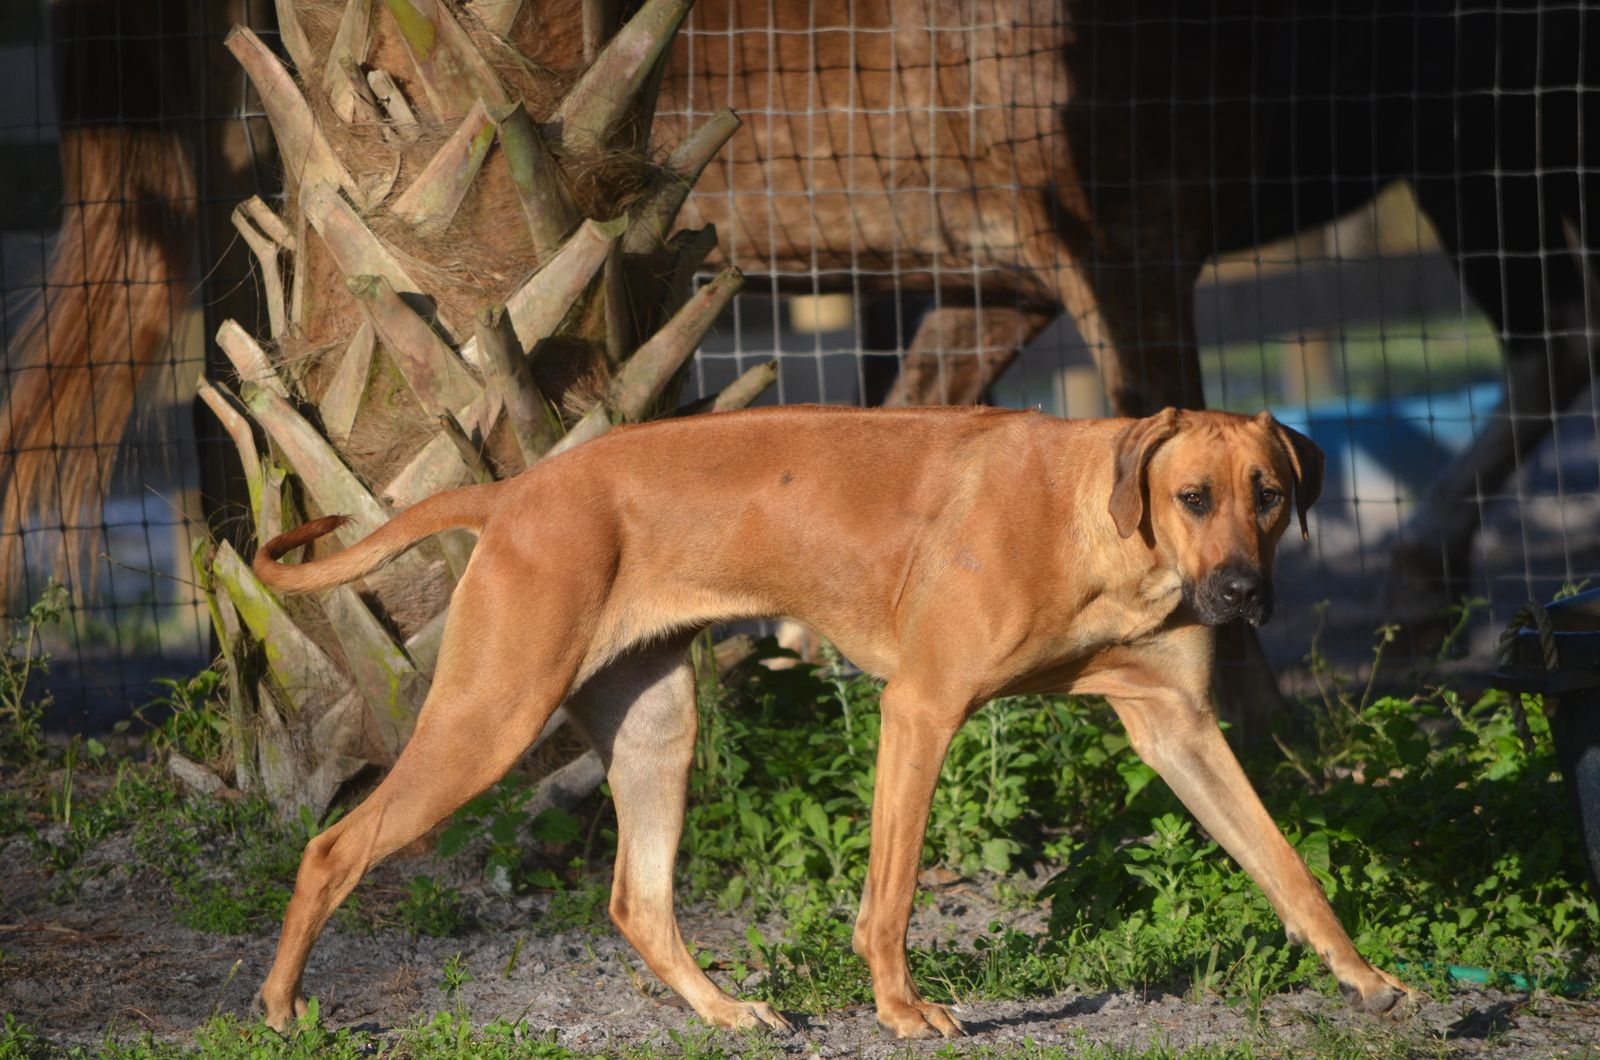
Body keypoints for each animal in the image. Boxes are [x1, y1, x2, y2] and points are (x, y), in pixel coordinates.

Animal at [252, 405, 1414, 1037]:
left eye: (1268, 494)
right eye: (1193, 496)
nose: (1242, 595)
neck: (1103, 528)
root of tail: (515, 491)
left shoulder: (1178, 727)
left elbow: (1285, 866)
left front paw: (1366, 978)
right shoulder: (923, 709)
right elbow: (891, 896)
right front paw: (903, 1009)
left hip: (657, 728)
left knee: (639, 901)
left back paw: (725, 1014)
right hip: (492, 715)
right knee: (331, 848)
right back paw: (279, 1006)